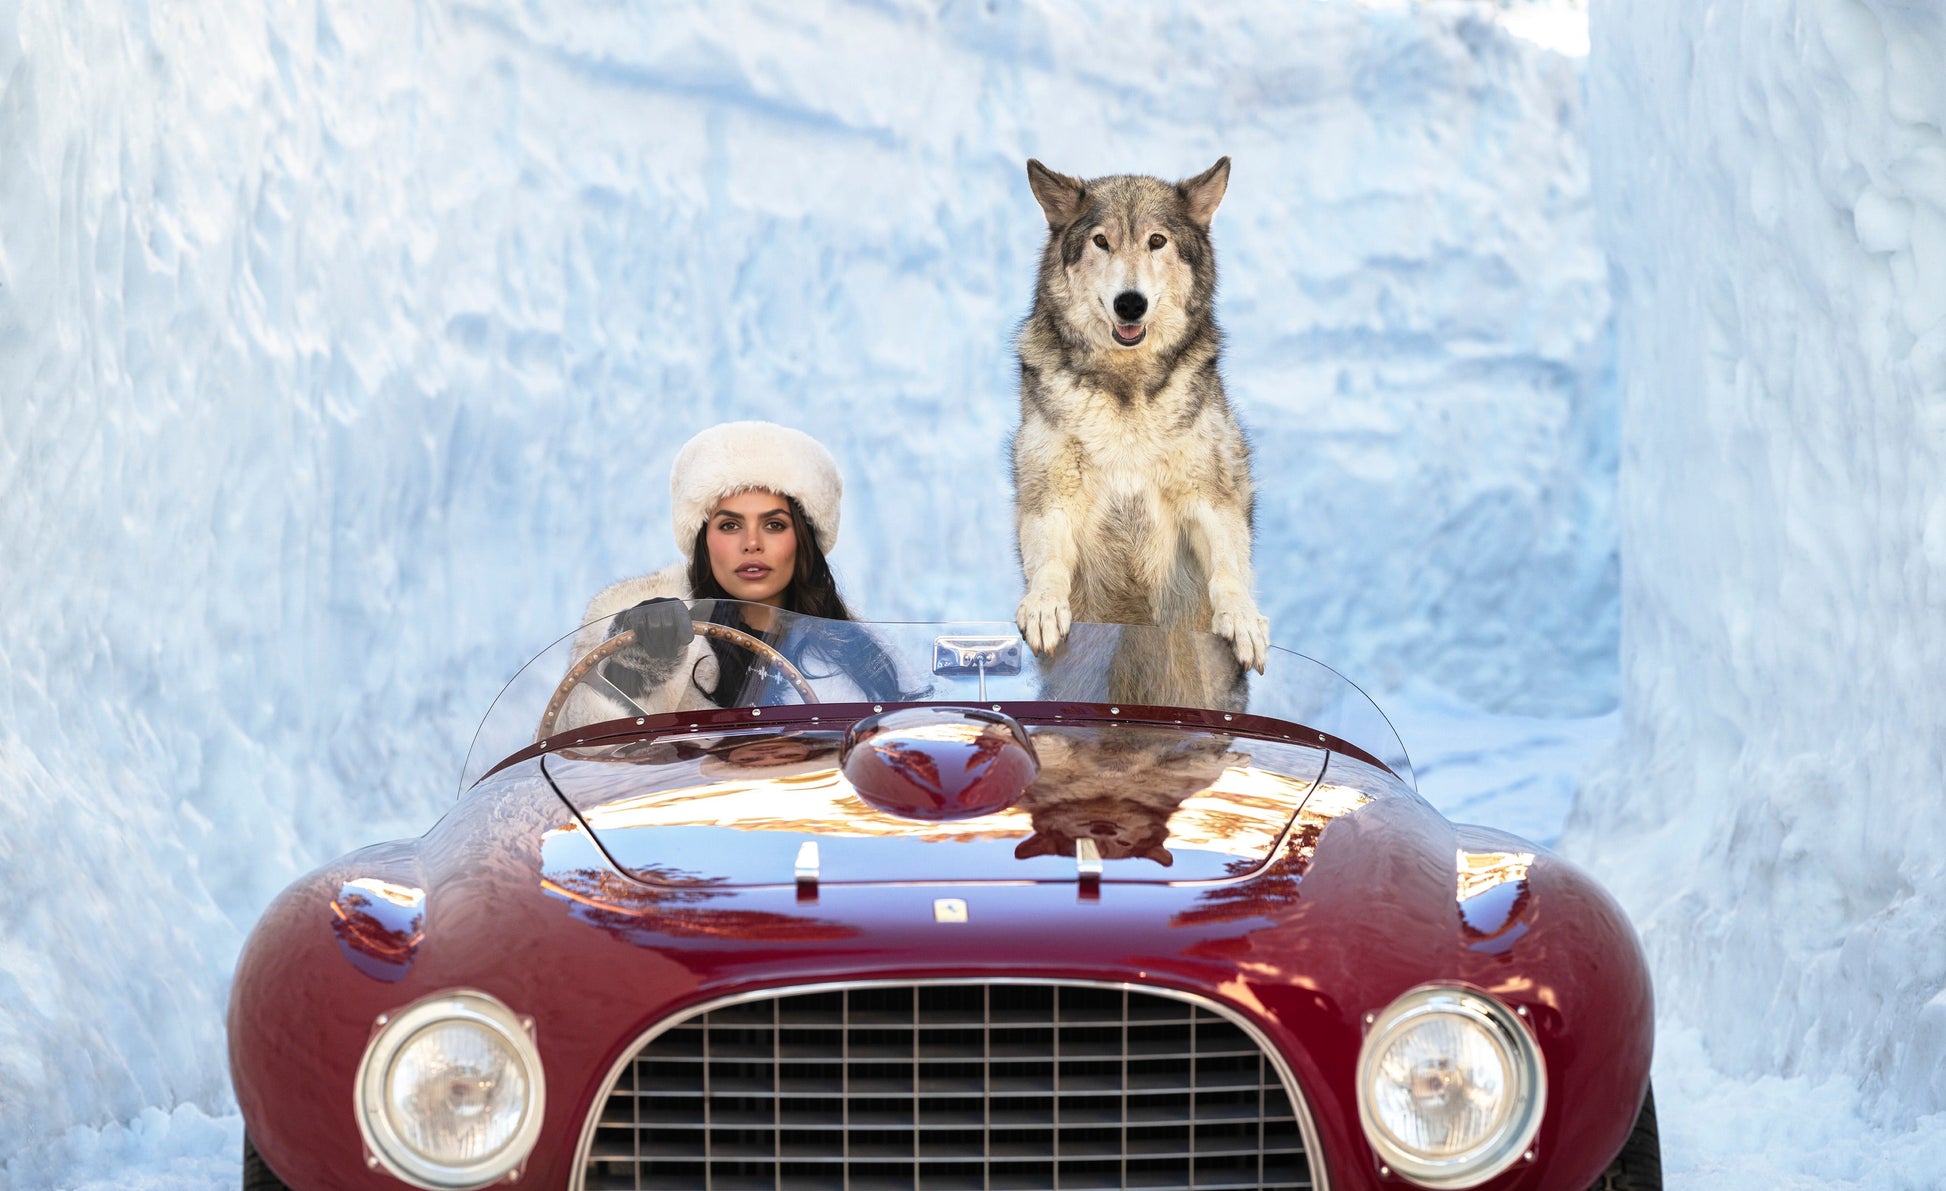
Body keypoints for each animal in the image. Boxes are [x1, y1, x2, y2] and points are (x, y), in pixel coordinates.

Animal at [1011, 156, 1268, 708]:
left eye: (1156, 241)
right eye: (1101, 241)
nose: (1131, 303)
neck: (1126, 394)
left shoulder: (1210, 499)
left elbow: (1229, 568)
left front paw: (1241, 619)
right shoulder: (1050, 499)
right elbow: (1048, 564)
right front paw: (1043, 607)